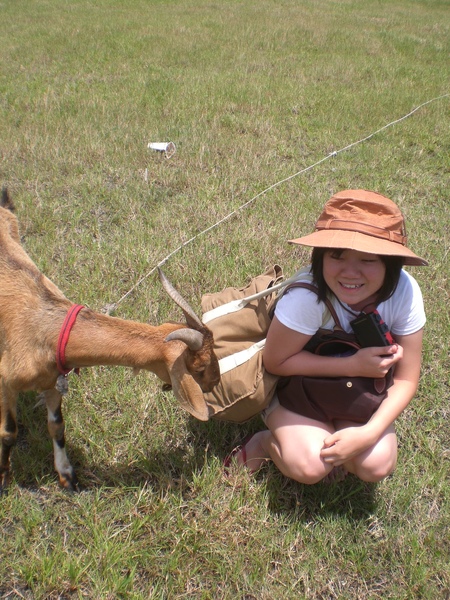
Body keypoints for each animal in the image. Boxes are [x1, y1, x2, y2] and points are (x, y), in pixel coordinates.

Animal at [0, 190, 218, 494]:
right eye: (200, 367)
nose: (216, 382)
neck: (46, 329)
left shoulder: (53, 380)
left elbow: (57, 426)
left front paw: (68, 476)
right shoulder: (5, 381)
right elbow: (9, 433)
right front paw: (3, 480)